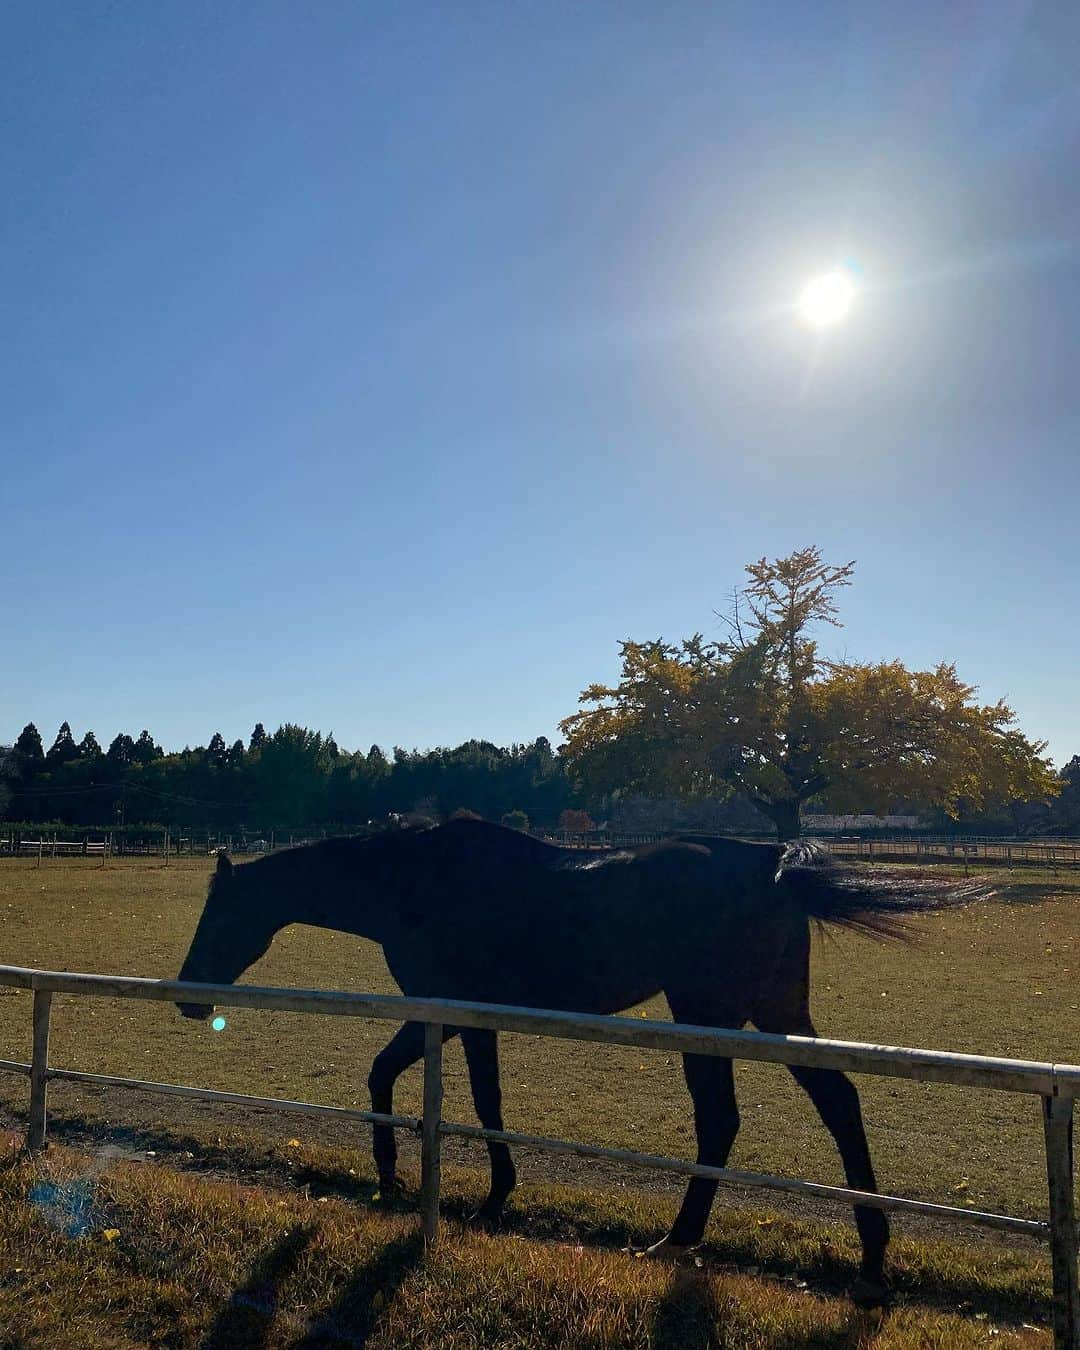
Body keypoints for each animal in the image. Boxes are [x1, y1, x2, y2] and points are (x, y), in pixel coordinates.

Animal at [175, 815, 977, 1301]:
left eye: (221, 911)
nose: (185, 994)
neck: (418, 881)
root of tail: (770, 864)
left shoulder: (456, 1011)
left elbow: (476, 1098)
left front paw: (476, 1192)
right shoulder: (451, 1016)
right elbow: (411, 1078)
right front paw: (400, 1177)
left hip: (711, 1017)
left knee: (721, 1118)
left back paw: (679, 1238)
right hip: (775, 1014)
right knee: (837, 1099)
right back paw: (871, 1254)